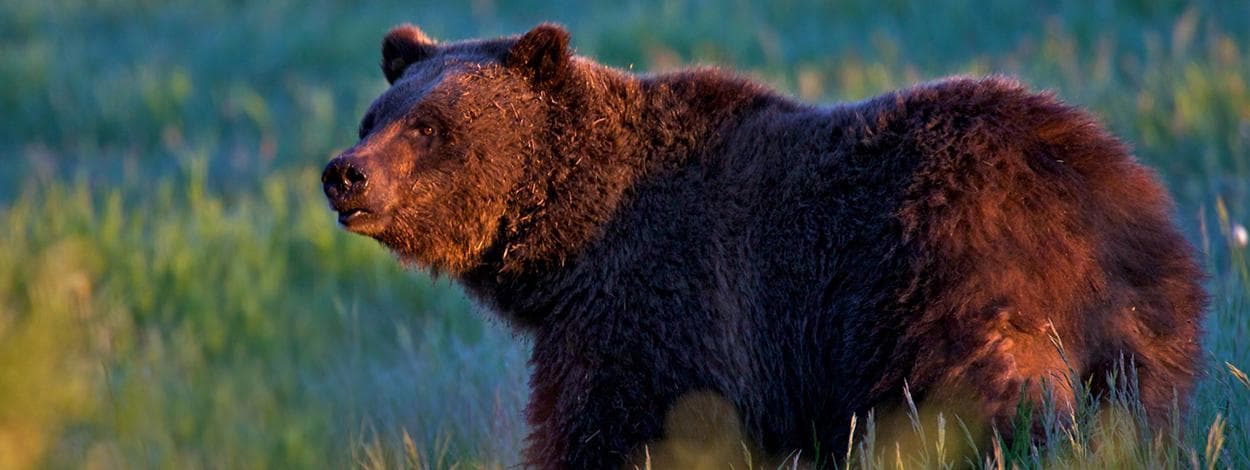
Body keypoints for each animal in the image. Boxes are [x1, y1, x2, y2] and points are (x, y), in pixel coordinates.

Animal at [321, 23, 1206, 469]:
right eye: (374, 115)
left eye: (428, 127)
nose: (344, 173)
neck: (569, 251)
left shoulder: (667, 299)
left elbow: (616, 426)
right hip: (1141, 325)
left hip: (949, 281)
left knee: (987, 410)